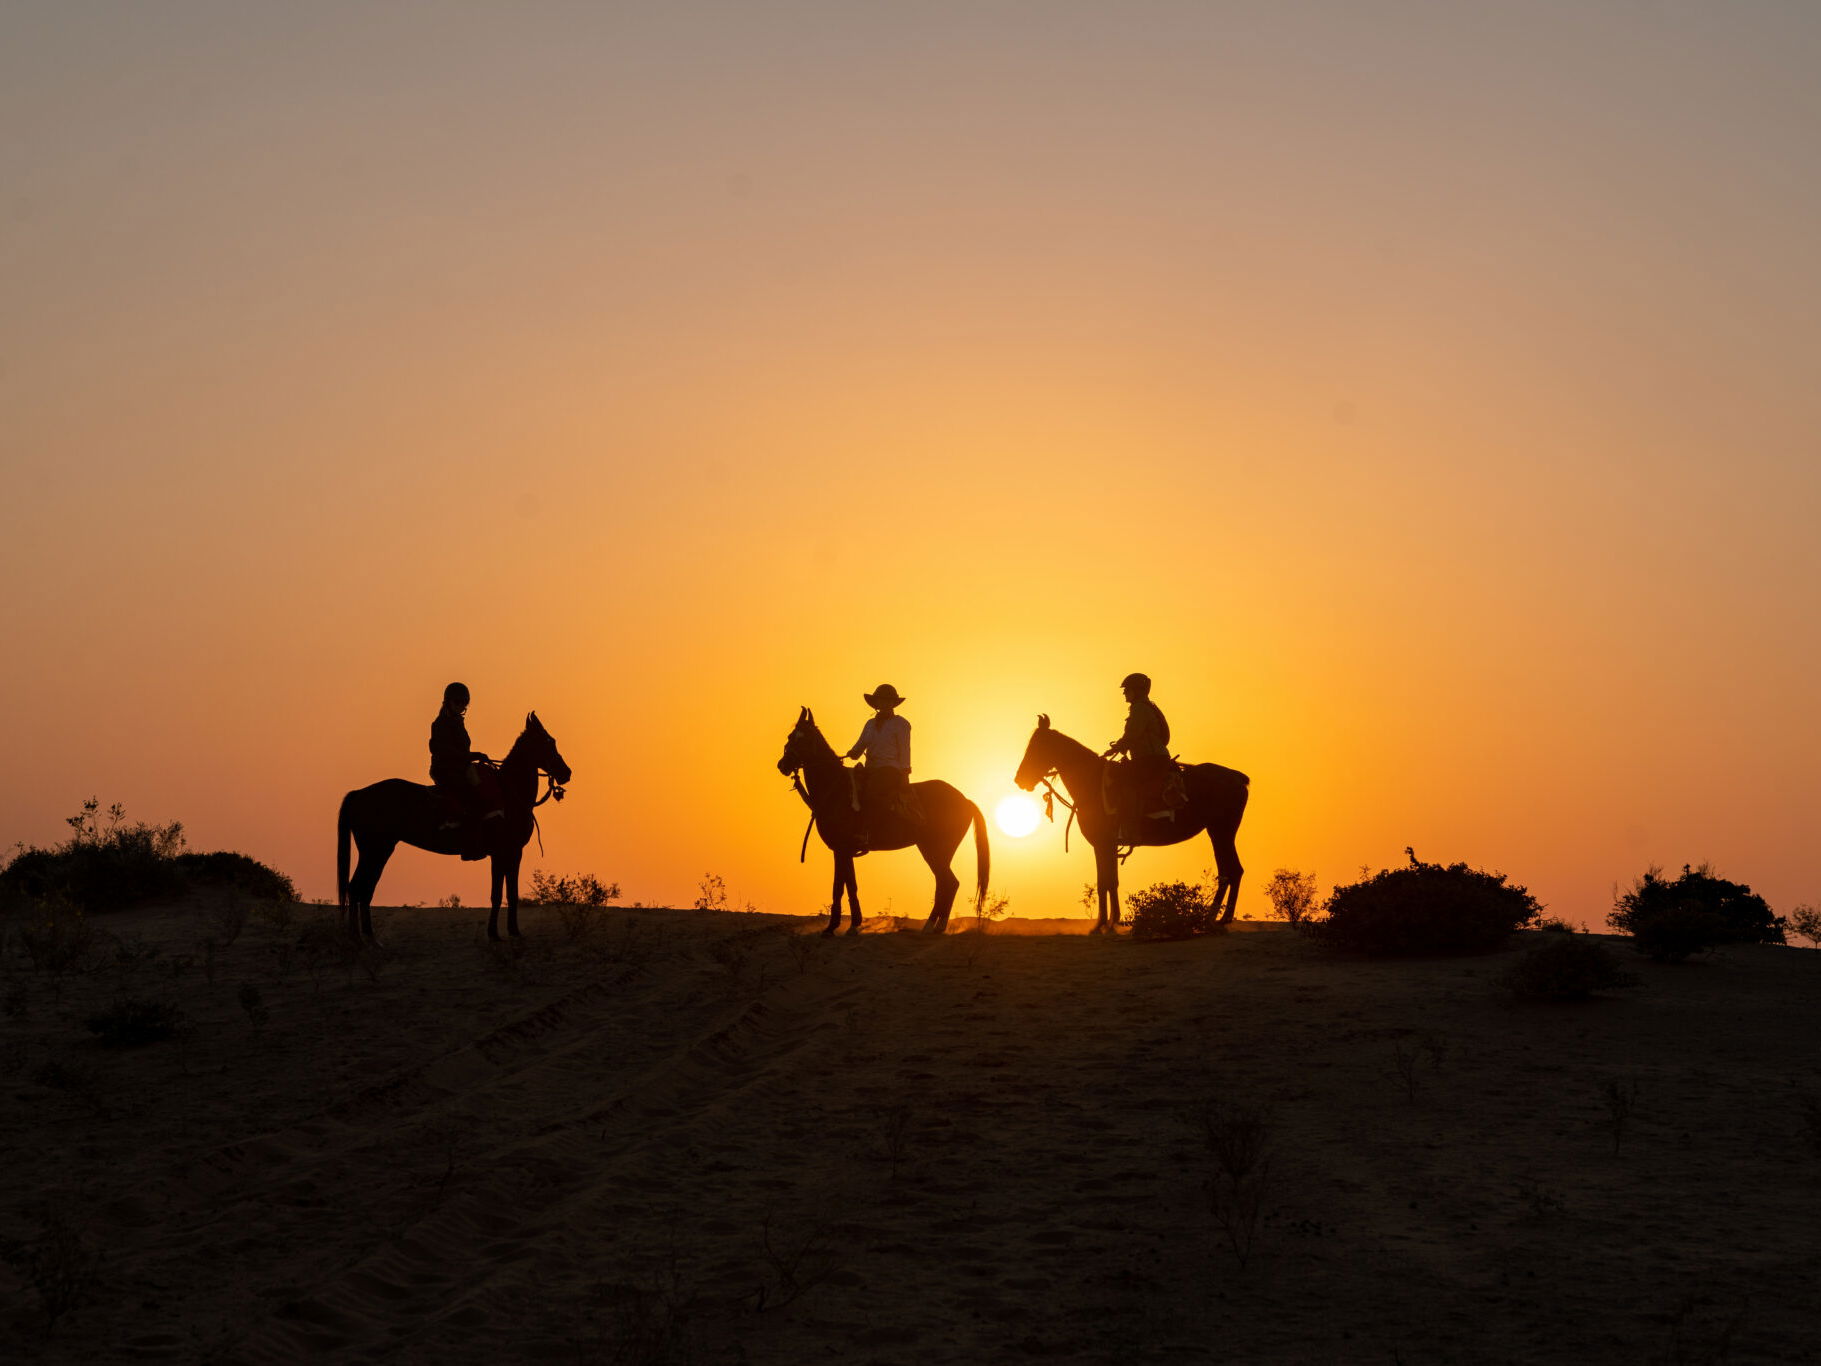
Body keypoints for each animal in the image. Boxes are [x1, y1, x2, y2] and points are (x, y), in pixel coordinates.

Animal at [337, 712, 572, 942]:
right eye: (549, 741)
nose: (566, 772)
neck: (509, 795)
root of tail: (359, 793)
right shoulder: (501, 852)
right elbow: (497, 894)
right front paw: (494, 934)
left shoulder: (513, 853)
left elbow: (511, 894)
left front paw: (513, 931)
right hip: (375, 849)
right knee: (358, 888)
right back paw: (358, 937)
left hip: (378, 850)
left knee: (364, 889)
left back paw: (367, 937)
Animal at [777, 707, 989, 936]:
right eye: (790, 737)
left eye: (805, 739)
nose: (783, 765)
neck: (835, 790)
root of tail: (965, 799)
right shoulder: (843, 850)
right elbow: (850, 884)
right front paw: (852, 924)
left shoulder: (841, 849)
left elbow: (839, 886)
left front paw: (834, 926)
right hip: (937, 851)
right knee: (945, 883)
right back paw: (932, 926)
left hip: (935, 850)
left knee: (948, 883)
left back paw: (935, 926)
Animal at [1014, 714, 1248, 934]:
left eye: (1037, 747)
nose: (1019, 779)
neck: (1091, 783)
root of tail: (1238, 778)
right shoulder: (1107, 846)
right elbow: (1111, 881)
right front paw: (1111, 922)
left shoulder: (1102, 844)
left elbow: (1104, 882)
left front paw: (1101, 925)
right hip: (1220, 832)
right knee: (1232, 870)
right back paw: (1220, 918)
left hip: (1221, 831)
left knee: (1229, 871)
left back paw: (1214, 919)